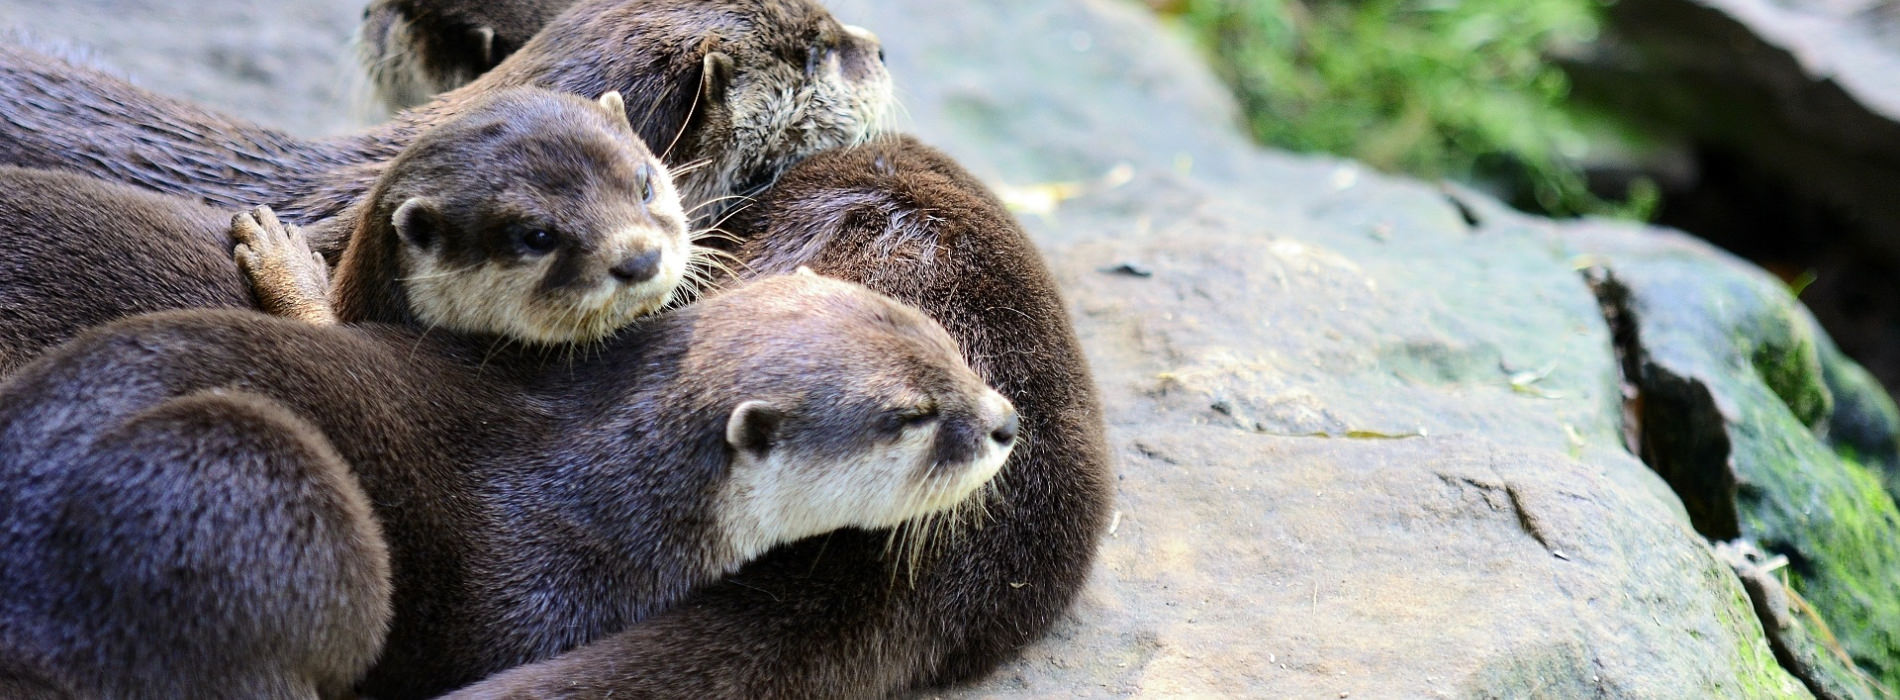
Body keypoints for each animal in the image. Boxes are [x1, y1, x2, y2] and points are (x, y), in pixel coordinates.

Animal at [0, 272, 1018, 699]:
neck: (606, 493)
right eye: (910, 415)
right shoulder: (540, 593)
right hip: (244, 479)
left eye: (941, 340)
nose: (1006, 420)